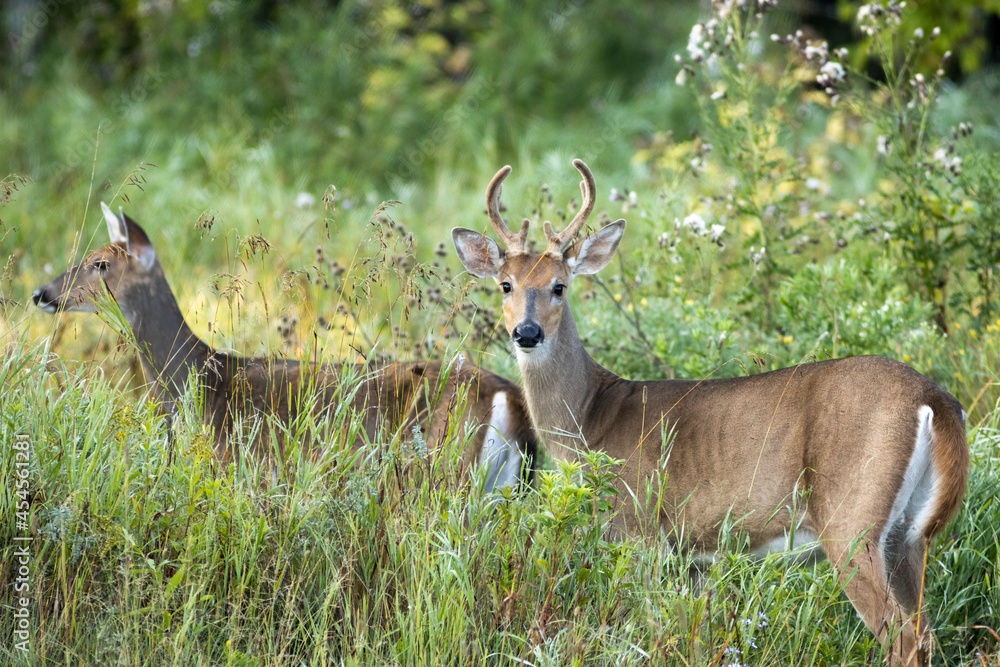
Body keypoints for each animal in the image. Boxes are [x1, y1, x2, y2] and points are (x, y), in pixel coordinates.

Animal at [35, 202, 536, 490]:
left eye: (100, 263)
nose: (42, 293)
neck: (199, 379)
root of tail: (506, 395)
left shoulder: (236, 465)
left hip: (447, 470)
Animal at [454, 159, 968, 664]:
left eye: (559, 286)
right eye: (505, 285)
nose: (526, 332)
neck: (592, 419)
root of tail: (934, 400)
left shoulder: (639, 530)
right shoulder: (694, 559)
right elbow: (693, 635)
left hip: (852, 521)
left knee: (903, 638)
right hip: (909, 537)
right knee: (926, 632)